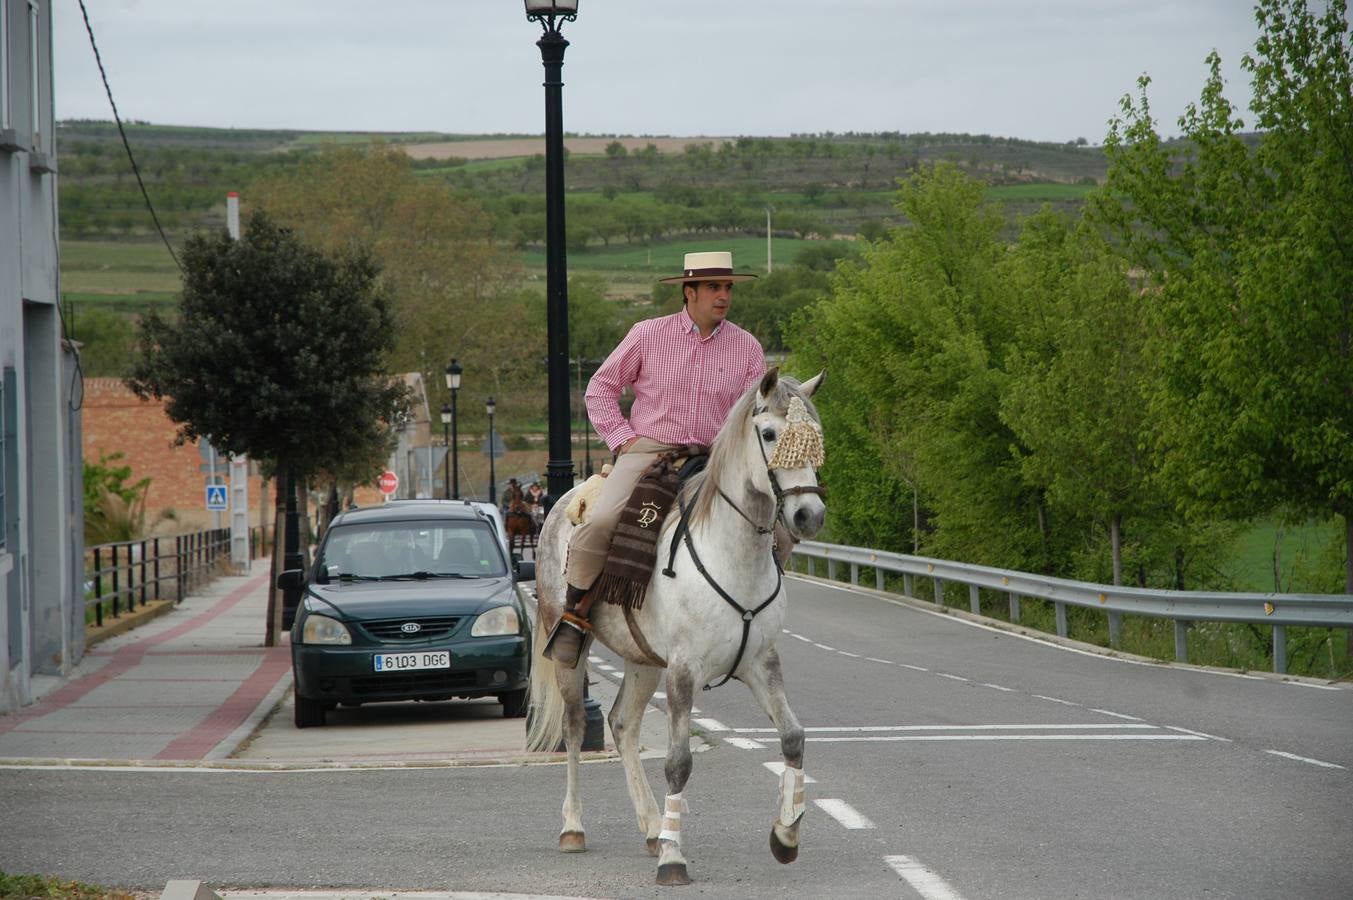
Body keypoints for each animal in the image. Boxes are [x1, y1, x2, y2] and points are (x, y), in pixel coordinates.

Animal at [524, 365, 822, 882]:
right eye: (769, 434)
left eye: (816, 438)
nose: (809, 514)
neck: (732, 554)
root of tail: (563, 502)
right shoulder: (684, 672)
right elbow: (678, 764)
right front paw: (673, 859)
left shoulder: (761, 665)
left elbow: (792, 737)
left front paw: (785, 836)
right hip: (571, 653)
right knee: (576, 726)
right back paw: (574, 827)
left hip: (643, 659)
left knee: (623, 724)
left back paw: (651, 826)